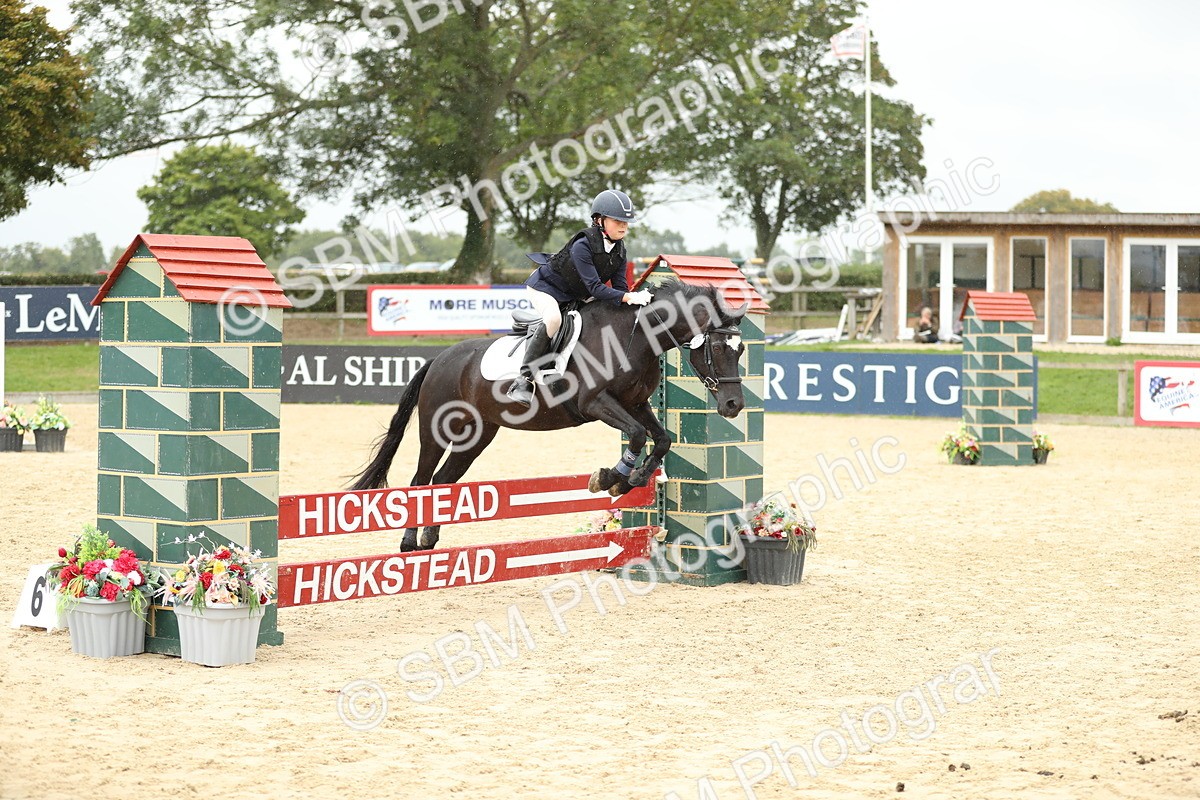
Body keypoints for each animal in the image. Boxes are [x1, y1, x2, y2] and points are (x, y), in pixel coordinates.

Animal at [349, 281, 749, 551]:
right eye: (716, 347)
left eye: (741, 348)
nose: (734, 406)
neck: (634, 337)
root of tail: (440, 358)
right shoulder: (596, 403)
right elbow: (637, 435)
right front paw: (609, 478)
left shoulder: (636, 404)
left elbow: (662, 438)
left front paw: (631, 480)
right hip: (436, 429)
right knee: (421, 480)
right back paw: (408, 543)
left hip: (477, 435)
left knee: (443, 479)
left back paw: (429, 539)